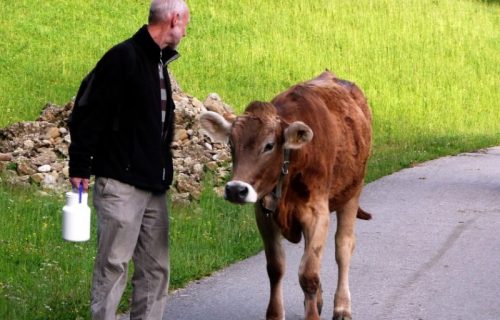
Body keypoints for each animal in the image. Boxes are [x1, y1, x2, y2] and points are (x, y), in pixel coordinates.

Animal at [200, 70, 372, 320]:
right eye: (231, 143)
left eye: (269, 145)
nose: (235, 190)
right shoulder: (263, 213)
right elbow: (276, 268)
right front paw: (275, 314)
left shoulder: (317, 213)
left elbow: (308, 273)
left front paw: (313, 316)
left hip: (352, 191)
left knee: (343, 247)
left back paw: (342, 307)